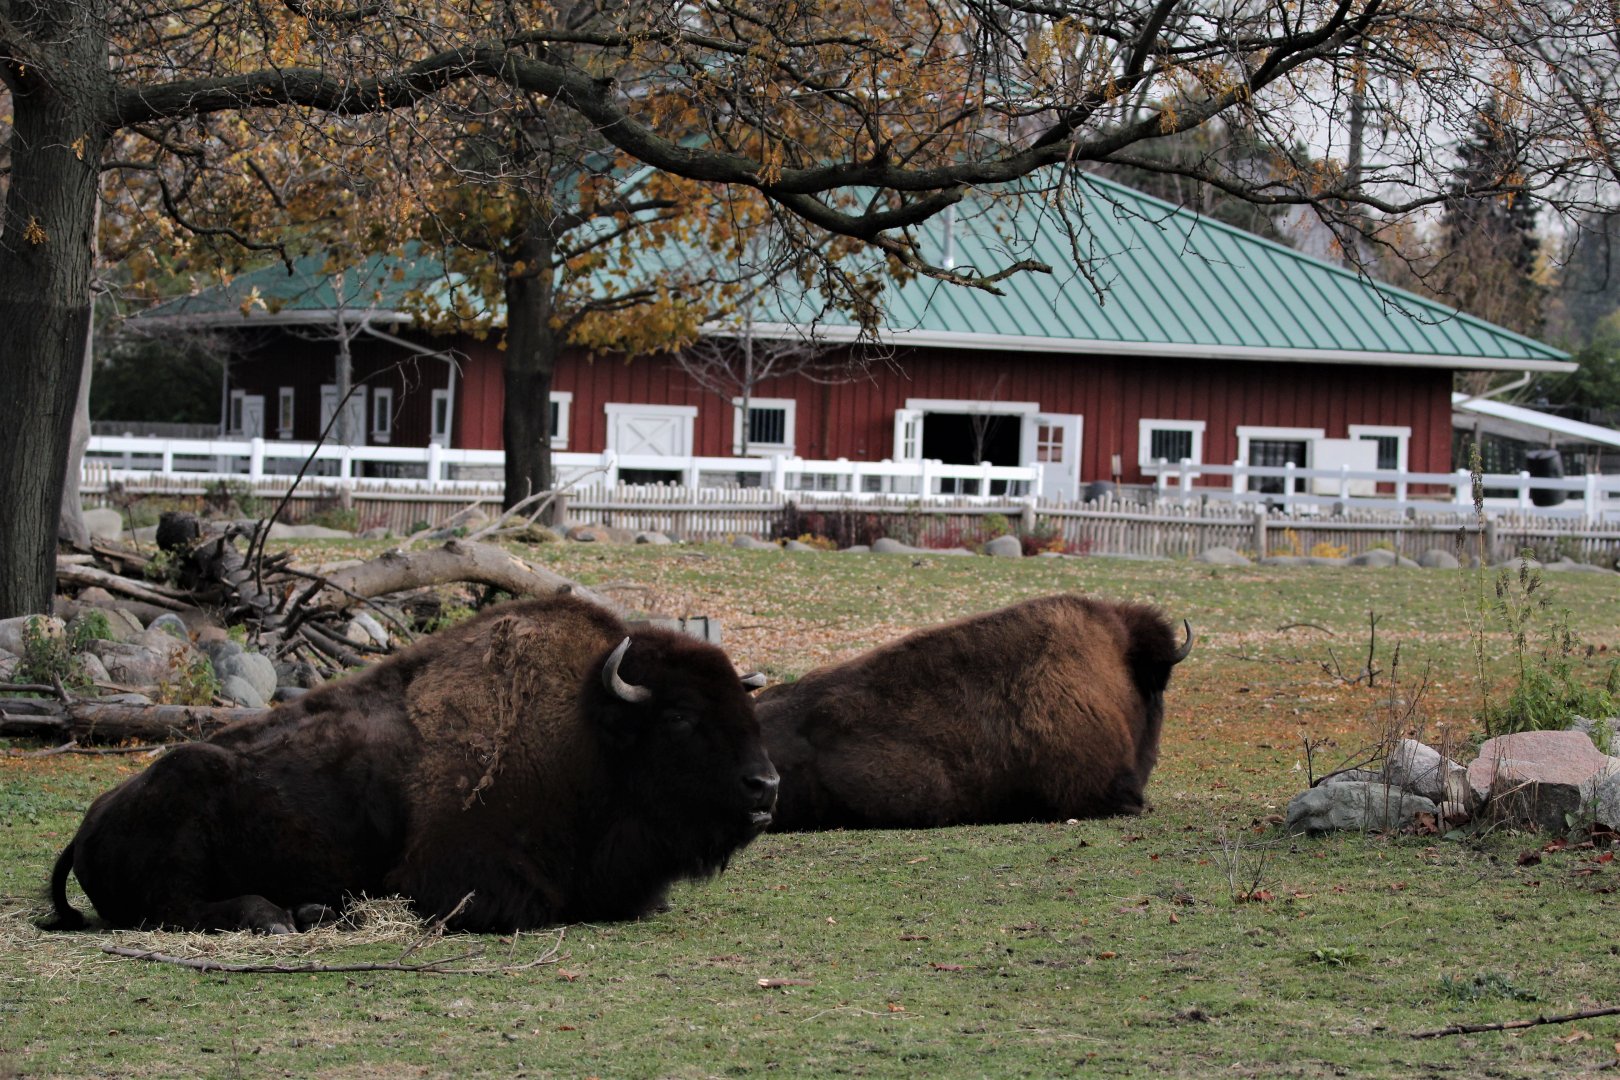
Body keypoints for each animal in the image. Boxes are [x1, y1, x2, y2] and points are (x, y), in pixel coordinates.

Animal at [44, 594, 778, 934]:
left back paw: (315, 911)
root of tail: (90, 823)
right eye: (680, 717)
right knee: (181, 905)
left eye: (741, 705)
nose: (766, 786)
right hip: (185, 811)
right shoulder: (457, 878)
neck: (587, 732)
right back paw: (282, 915)